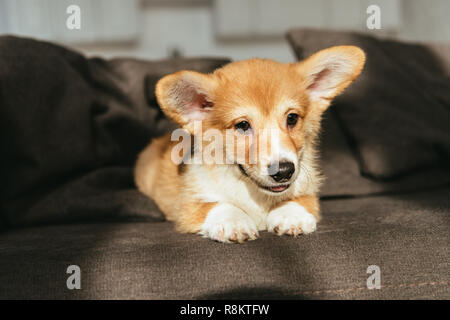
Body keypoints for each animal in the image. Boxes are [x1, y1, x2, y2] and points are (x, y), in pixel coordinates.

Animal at [134, 45, 366, 242]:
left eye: (292, 118)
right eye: (243, 125)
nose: (284, 171)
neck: (256, 195)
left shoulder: (307, 193)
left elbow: (299, 201)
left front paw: (290, 215)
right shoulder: (187, 206)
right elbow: (217, 205)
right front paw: (233, 221)